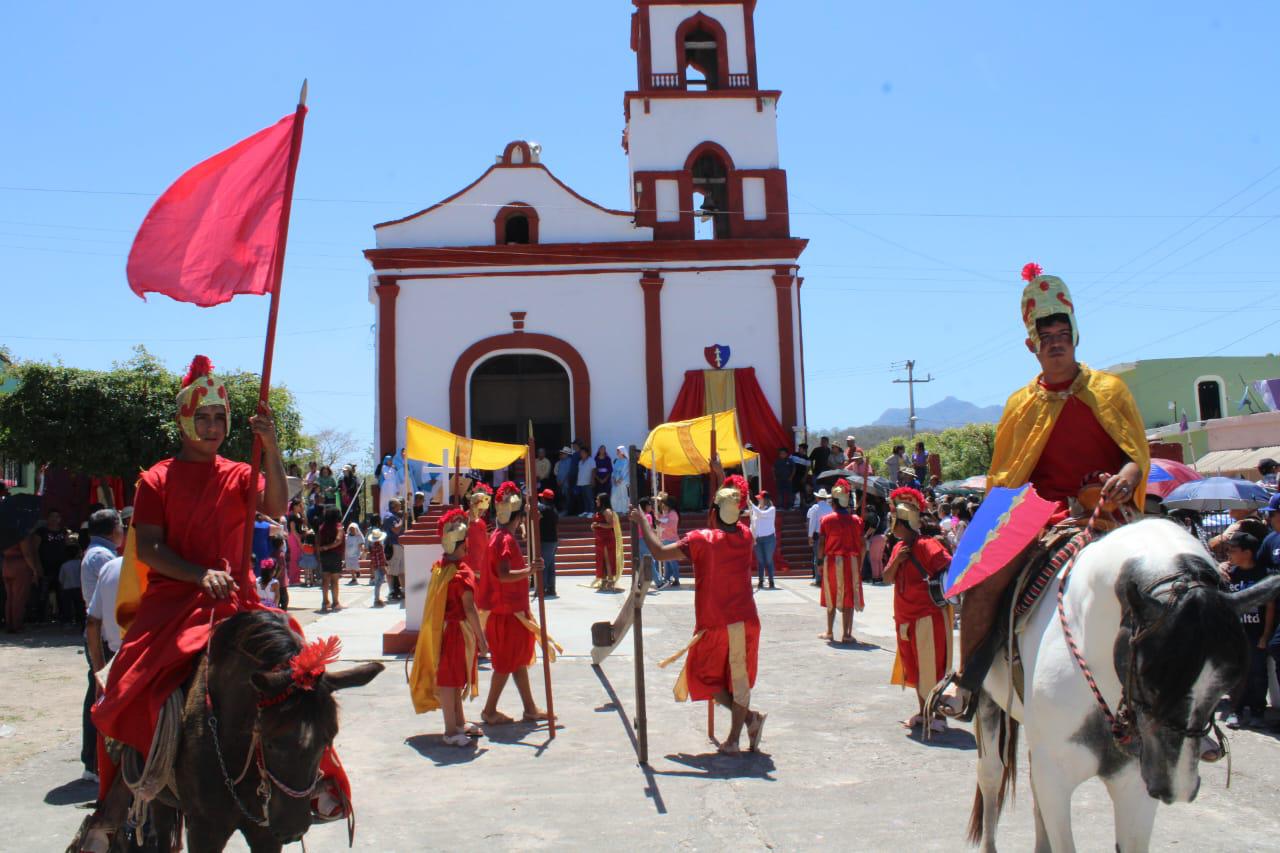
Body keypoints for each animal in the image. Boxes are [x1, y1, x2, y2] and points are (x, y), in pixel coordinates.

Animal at [967, 514, 1280, 845]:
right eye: (1147, 677)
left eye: (1227, 683)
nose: (1176, 788)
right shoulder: (1056, 775)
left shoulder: (1134, 783)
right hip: (990, 706)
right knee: (991, 775)